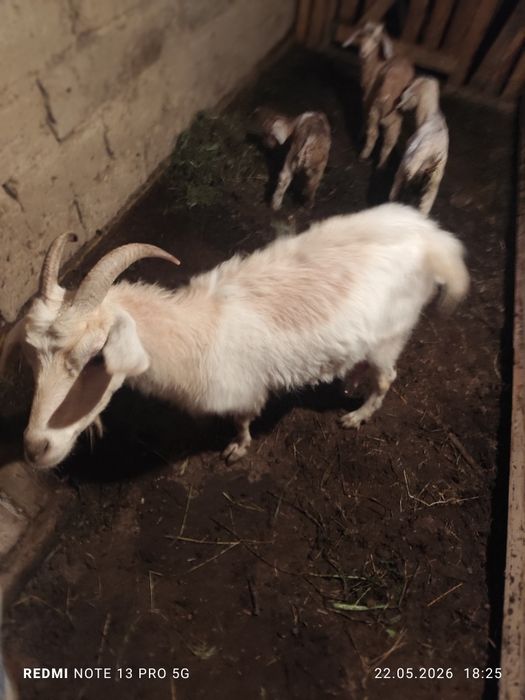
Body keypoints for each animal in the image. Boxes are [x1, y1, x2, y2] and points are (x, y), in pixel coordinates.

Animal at [0, 204, 469, 469]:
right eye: (31, 358)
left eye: (97, 357)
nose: (35, 448)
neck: (192, 328)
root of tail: (434, 238)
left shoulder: (242, 389)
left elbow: (243, 419)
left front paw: (237, 449)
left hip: (393, 332)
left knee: (387, 378)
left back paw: (358, 415)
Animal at [343, 22, 414, 167]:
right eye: (362, 36)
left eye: (376, 40)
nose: (363, 53)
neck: (375, 62)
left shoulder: (367, 98)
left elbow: (364, 115)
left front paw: (360, 135)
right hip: (395, 115)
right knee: (390, 139)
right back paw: (382, 164)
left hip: (380, 111)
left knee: (375, 133)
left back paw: (364, 156)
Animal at [389, 77, 449, 215]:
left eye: (406, 94)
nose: (398, 107)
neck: (430, 115)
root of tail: (433, 154)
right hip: (430, 190)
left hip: (405, 172)